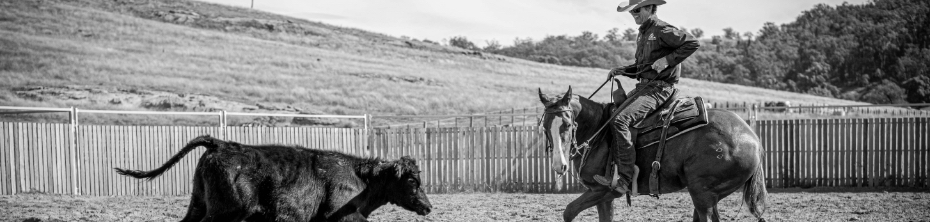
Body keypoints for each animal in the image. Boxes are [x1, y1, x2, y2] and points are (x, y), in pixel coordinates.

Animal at [540, 83, 764, 222]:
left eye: (568, 125)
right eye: (544, 127)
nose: (559, 166)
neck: (600, 130)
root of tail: (752, 138)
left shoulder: (605, 190)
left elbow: (569, 212)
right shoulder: (603, 196)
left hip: (702, 194)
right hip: (708, 195)